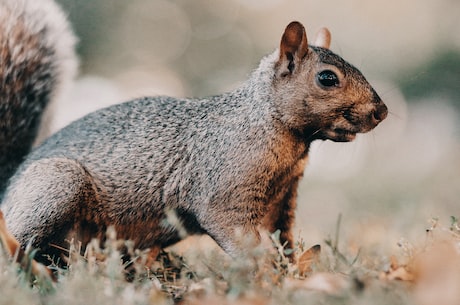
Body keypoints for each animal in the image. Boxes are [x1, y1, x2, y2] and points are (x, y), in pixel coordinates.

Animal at [0, 0, 388, 264]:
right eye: (327, 78)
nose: (381, 111)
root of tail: (7, 188)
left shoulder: (283, 199)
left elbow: (285, 238)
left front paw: (291, 269)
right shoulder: (223, 190)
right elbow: (238, 235)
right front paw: (263, 273)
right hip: (58, 184)